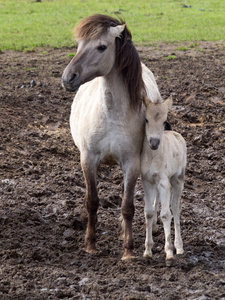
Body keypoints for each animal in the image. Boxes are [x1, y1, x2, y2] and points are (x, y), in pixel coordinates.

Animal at [61, 12, 160, 258]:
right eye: (78, 44)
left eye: (102, 47)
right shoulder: (88, 159)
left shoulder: (132, 163)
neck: (111, 112)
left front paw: (128, 251)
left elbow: (127, 206)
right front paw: (90, 245)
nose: (68, 78)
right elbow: (92, 201)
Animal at [142, 96, 187, 260]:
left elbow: (166, 214)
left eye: (164, 121)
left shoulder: (164, 182)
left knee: (175, 208)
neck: (153, 156)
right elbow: (148, 212)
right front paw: (147, 250)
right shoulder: (147, 181)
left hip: (178, 179)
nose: (154, 143)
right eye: (146, 119)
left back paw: (179, 247)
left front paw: (169, 252)